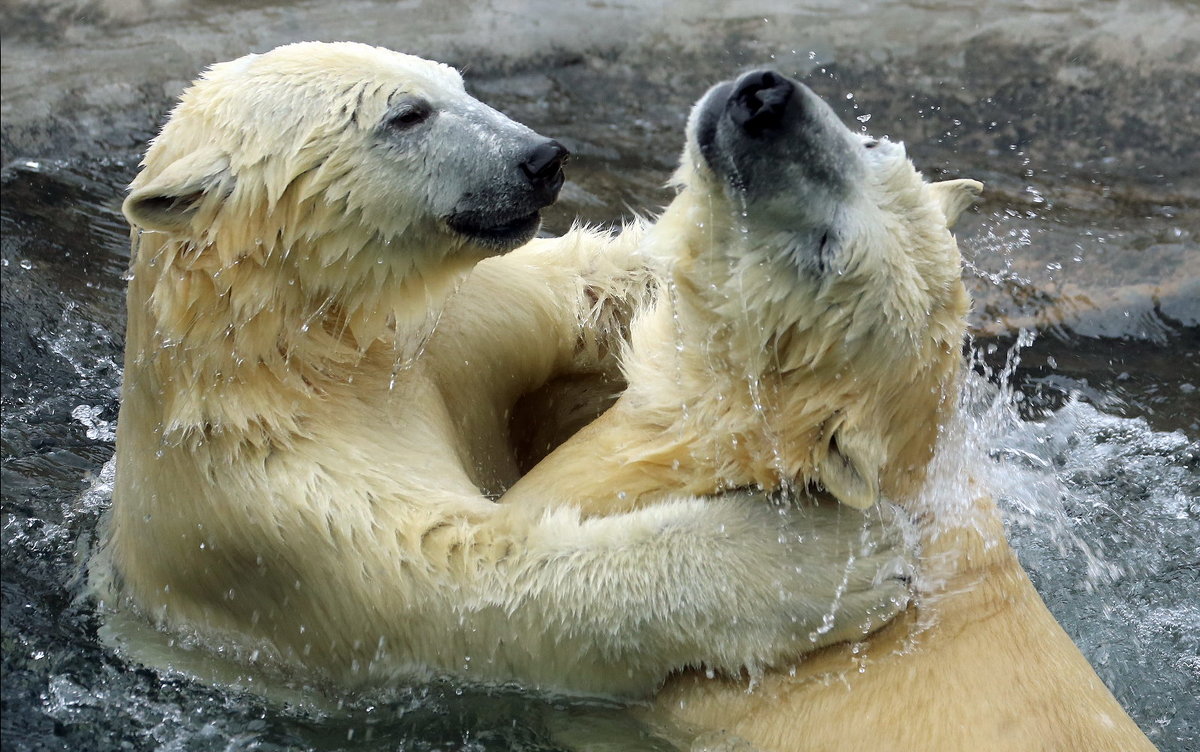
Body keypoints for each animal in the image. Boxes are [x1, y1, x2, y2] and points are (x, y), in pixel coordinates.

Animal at [103, 42, 907, 700]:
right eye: (407, 115)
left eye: (457, 82)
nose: (542, 159)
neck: (313, 361)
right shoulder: (284, 513)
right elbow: (474, 582)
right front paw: (832, 557)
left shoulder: (455, 323)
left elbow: (585, 289)